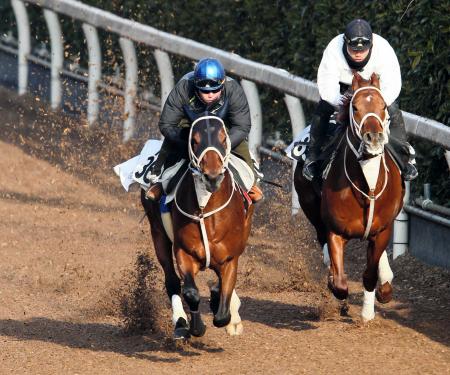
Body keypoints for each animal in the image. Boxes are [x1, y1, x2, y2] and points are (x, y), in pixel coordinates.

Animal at [141, 114, 253, 338]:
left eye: (224, 138)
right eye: (194, 141)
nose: (212, 176)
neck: (206, 211)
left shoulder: (230, 258)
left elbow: (222, 309)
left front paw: (226, 312)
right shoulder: (185, 252)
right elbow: (191, 291)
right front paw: (196, 326)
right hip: (158, 233)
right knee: (172, 280)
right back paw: (180, 322)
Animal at [294, 74, 406, 324]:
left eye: (383, 107)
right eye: (355, 107)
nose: (373, 138)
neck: (369, 186)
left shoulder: (382, 230)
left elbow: (370, 273)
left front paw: (369, 310)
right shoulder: (336, 231)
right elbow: (340, 283)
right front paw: (336, 289)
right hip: (311, 209)